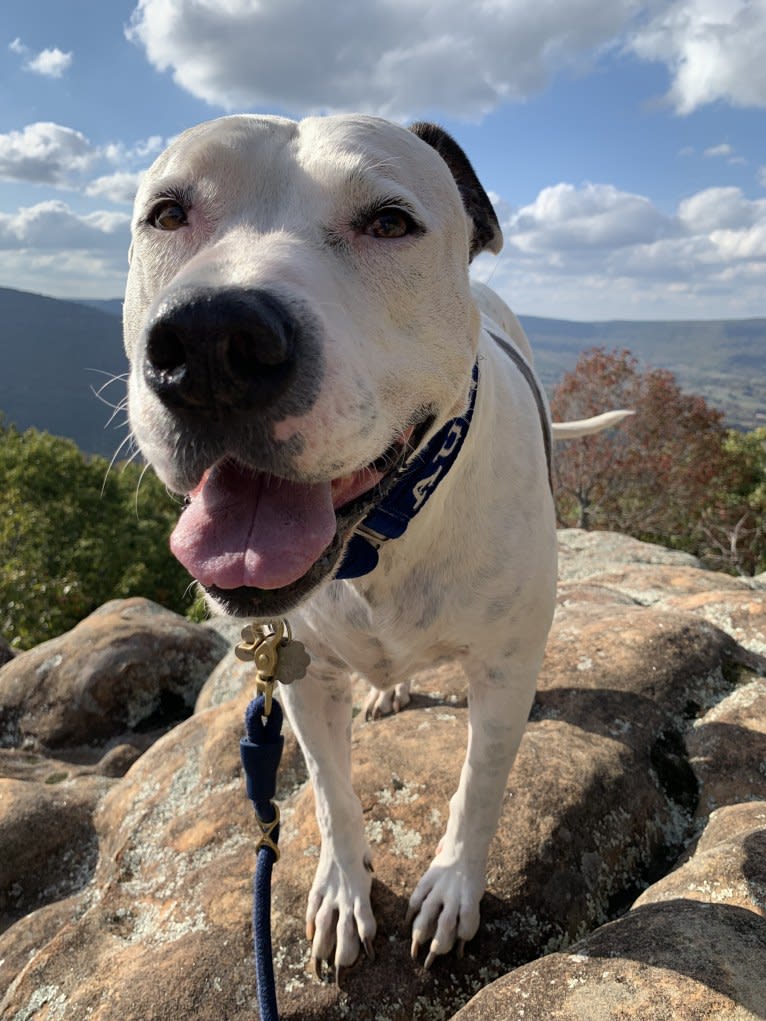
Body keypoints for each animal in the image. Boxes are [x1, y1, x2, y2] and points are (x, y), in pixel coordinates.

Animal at [124, 111, 629, 971]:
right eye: (167, 212)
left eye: (390, 222)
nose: (213, 341)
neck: (381, 538)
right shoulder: (300, 676)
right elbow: (331, 792)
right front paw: (341, 887)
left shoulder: (506, 670)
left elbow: (480, 784)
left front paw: (453, 887)